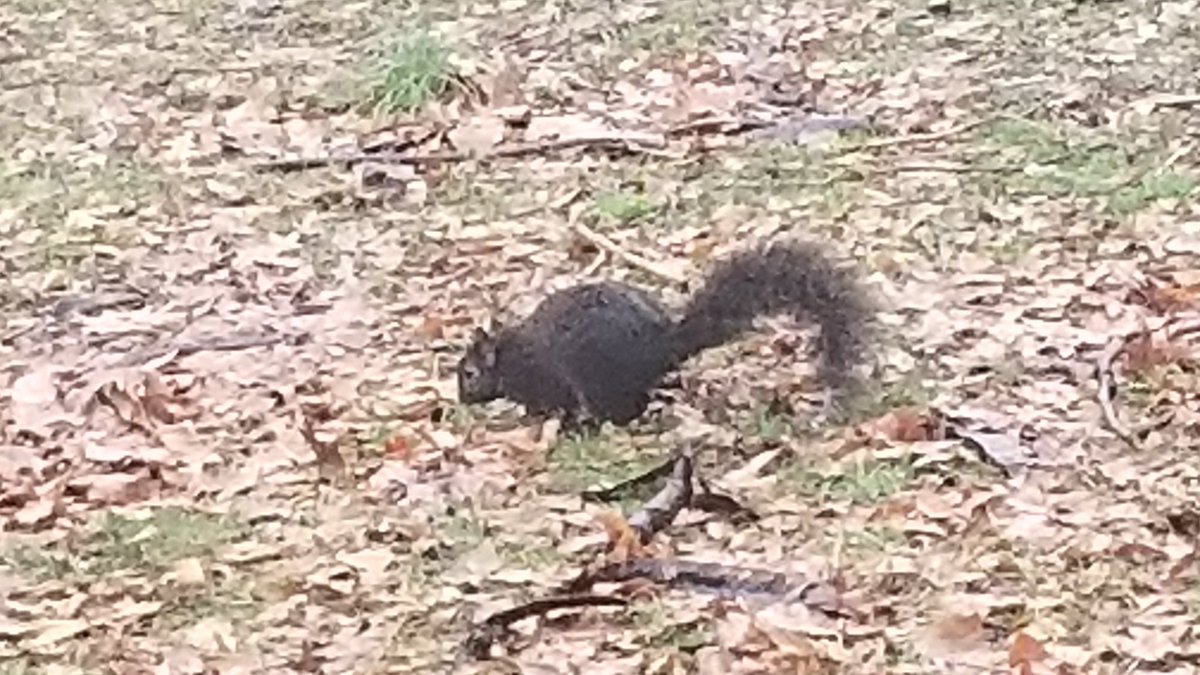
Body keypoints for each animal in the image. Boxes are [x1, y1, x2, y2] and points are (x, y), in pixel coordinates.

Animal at [455, 239, 874, 426]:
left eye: (469, 374)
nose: (461, 400)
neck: (507, 356)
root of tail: (660, 344)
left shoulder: (538, 379)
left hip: (598, 380)